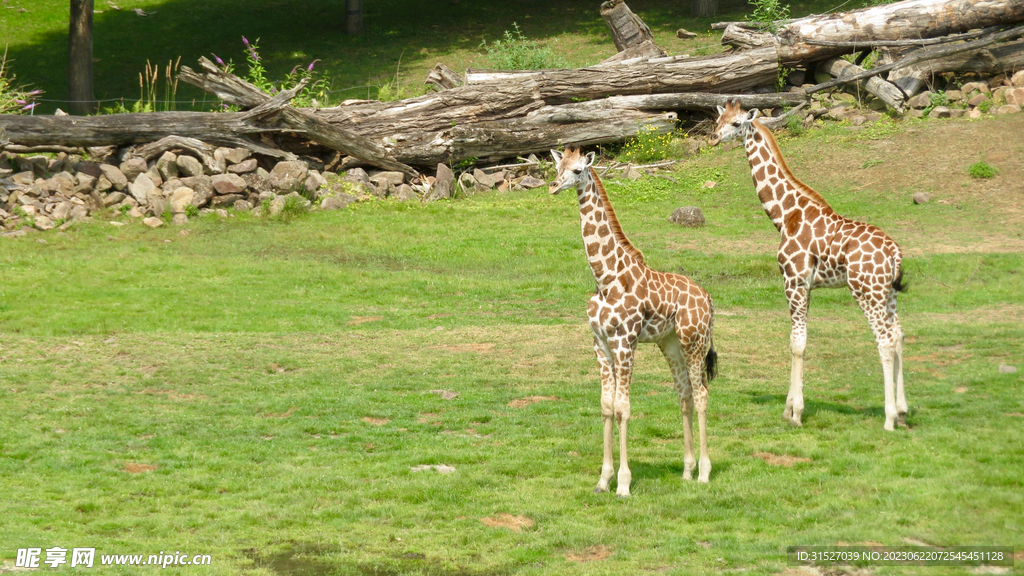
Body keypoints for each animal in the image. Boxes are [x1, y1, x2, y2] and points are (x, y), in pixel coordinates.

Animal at [548, 144, 716, 494]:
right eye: (557, 167)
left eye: (577, 170)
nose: (553, 186)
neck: (605, 279)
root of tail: (708, 298)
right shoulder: (600, 344)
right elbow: (606, 406)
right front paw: (603, 480)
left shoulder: (625, 343)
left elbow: (623, 408)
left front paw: (623, 484)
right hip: (671, 343)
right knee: (684, 395)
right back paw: (687, 471)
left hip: (694, 342)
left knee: (702, 394)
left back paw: (704, 473)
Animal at [708, 99, 909, 430]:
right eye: (718, 119)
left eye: (736, 124)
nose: (712, 138)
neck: (786, 214)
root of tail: (895, 253)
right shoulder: (807, 285)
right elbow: (796, 340)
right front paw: (788, 408)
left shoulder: (794, 280)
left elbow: (797, 343)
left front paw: (796, 413)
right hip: (888, 293)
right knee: (899, 335)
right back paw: (903, 411)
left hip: (866, 291)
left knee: (885, 341)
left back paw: (890, 417)